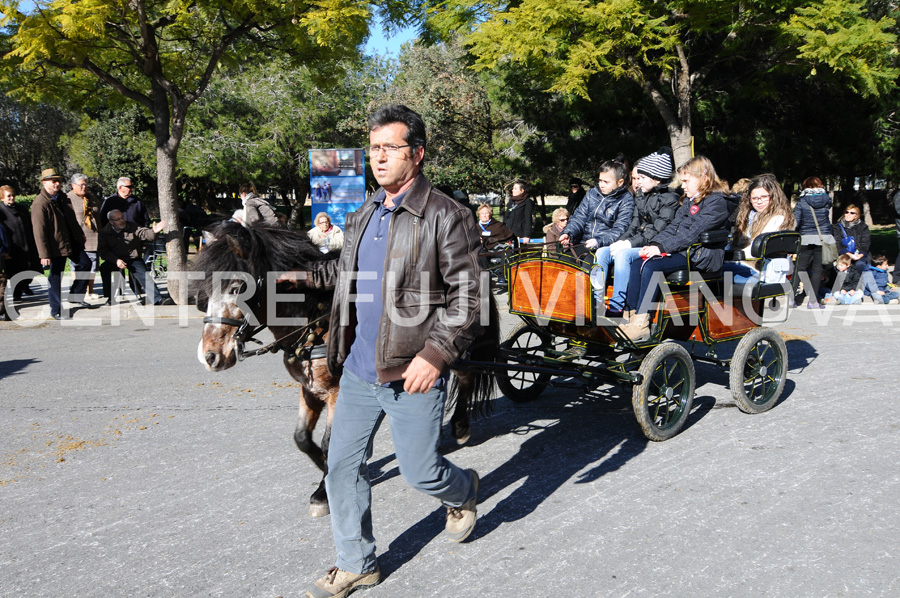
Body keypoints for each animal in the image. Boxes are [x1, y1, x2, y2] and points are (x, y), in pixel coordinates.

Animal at [192, 223, 500, 516]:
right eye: (204, 291)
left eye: (236, 288)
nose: (209, 356)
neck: (317, 319)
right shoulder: (310, 388)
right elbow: (302, 439)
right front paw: (329, 469)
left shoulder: (337, 391)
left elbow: (331, 443)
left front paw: (323, 491)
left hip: (454, 350)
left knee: (466, 378)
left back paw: (460, 425)